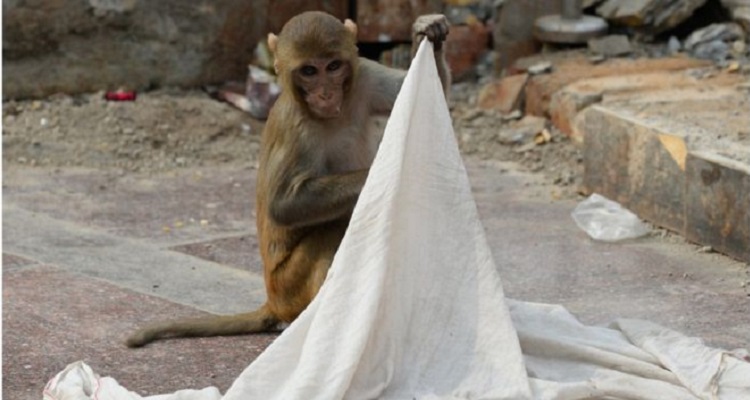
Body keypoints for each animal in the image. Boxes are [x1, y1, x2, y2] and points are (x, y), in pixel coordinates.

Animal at [125, 11, 450, 348]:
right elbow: (284, 205)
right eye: (308, 71)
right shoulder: (295, 127)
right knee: (333, 228)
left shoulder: (366, 76)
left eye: (333, 66)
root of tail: (273, 301)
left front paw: (428, 30)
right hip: (289, 286)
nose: (325, 94)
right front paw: (380, 169)